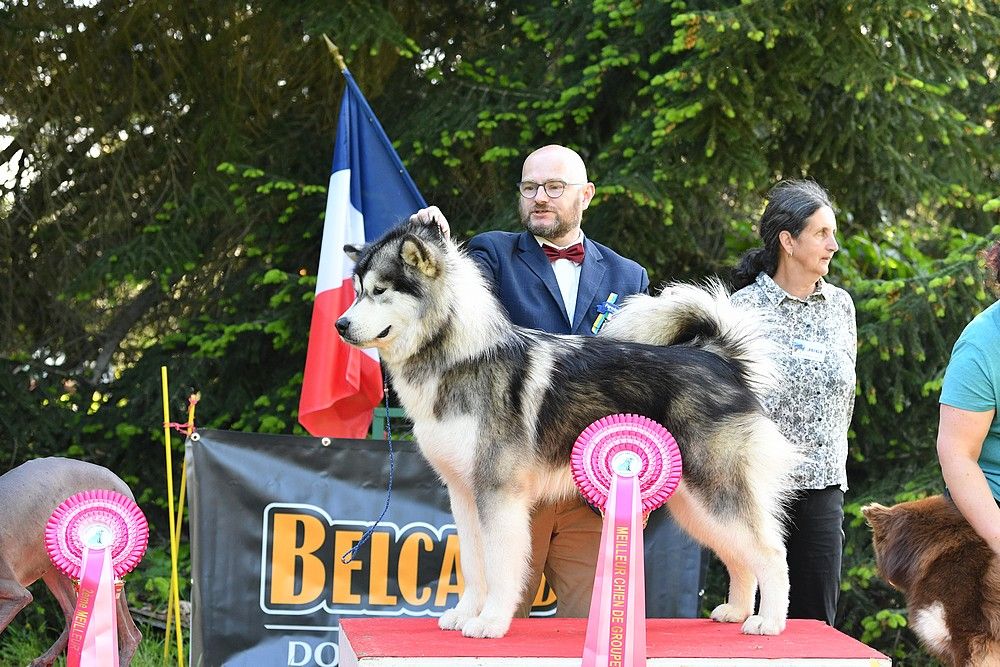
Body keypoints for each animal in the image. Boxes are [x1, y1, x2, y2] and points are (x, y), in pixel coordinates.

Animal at [0, 460, 143, 667]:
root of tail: (123, 483)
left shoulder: (17, 592)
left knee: (131, 635)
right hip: (51, 565)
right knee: (73, 614)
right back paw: (42, 661)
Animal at [336, 222, 796, 640]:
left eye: (379, 291)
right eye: (357, 290)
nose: (340, 325)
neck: (457, 356)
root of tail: (718, 358)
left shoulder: (498, 492)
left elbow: (500, 565)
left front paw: (489, 622)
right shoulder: (463, 493)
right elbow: (472, 562)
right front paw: (465, 614)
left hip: (714, 490)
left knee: (771, 553)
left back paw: (769, 622)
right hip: (693, 504)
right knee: (739, 557)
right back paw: (736, 612)